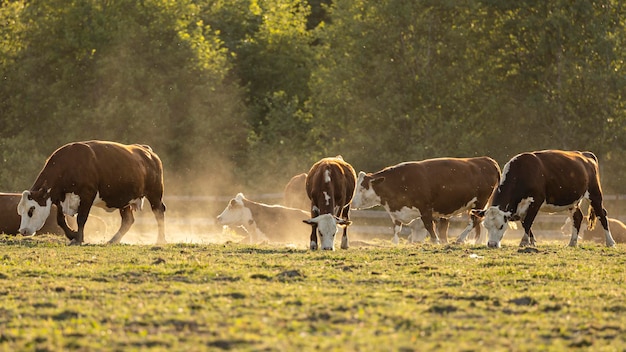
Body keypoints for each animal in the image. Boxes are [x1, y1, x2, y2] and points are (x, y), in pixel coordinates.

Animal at [17, 140, 166, 245]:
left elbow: (81, 218)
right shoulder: (60, 198)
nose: (23, 231)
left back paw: (160, 240)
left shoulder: (87, 195)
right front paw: (72, 235)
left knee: (158, 212)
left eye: (31, 210)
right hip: (124, 200)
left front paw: (78, 239)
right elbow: (60, 220)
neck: (70, 164)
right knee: (128, 220)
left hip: (155, 193)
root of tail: (147, 151)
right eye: (20, 211)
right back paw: (113, 240)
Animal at [348, 157, 500, 245]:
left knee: (474, 221)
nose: (352, 203)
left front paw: (435, 241)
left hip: (480, 202)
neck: (400, 181)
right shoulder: (396, 212)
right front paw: (395, 242)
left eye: (362, 187)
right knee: (478, 223)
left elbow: (428, 225)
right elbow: (396, 228)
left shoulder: (425, 208)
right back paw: (476, 241)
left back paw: (461, 239)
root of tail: (487, 160)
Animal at [472, 150, 616, 249]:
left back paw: (610, 242)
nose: (491, 244)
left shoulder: (536, 201)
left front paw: (524, 241)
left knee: (602, 215)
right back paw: (572, 242)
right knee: (577, 217)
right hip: (573, 201)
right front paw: (532, 241)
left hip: (595, 194)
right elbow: (525, 223)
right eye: (486, 225)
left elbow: (528, 222)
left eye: (501, 226)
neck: (522, 173)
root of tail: (585, 155)